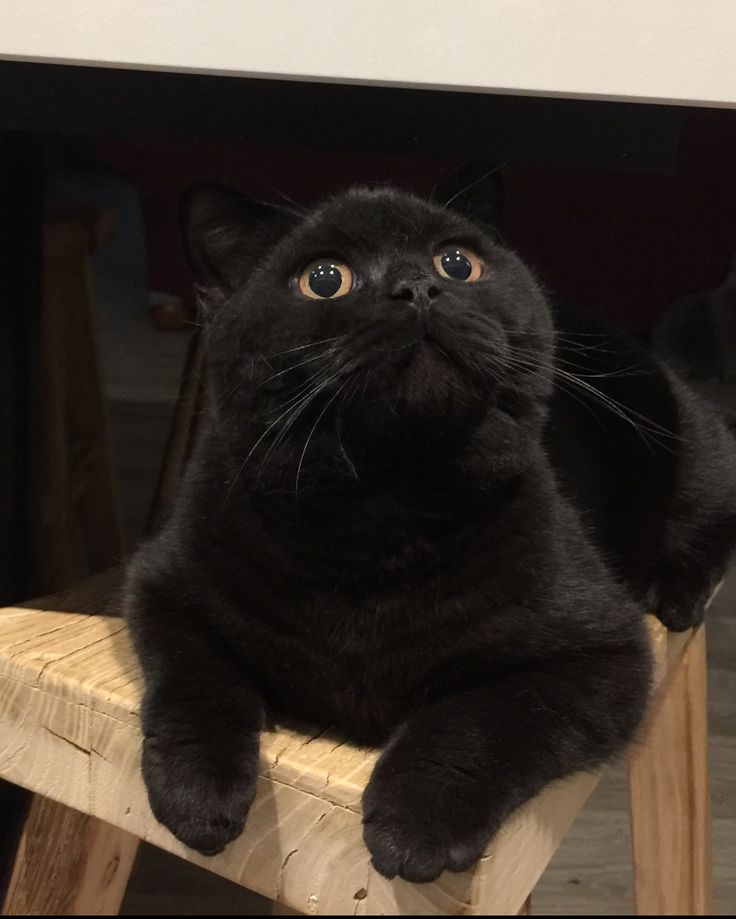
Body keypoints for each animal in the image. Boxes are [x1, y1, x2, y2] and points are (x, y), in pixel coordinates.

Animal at [125, 181, 736, 884]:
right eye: (325, 279)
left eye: (457, 263)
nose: (416, 286)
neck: (384, 512)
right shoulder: (162, 587)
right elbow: (197, 683)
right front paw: (196, 794)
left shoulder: (602, 654)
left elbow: (476, 718)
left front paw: (418, 822)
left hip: (700, 450)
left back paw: (678, 591)